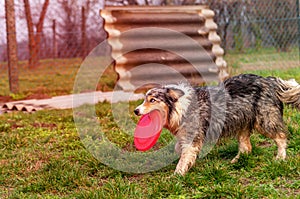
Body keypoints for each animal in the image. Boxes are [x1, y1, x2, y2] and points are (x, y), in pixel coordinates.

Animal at [134, 74, 300, 175]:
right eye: (144, 99)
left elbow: (184, 156)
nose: (136, 111)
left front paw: (177, 175)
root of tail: (270, 80)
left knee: (281, 136)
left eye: (152, 100)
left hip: (265, 120)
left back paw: (280, 157)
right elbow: (179, 149)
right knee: (246, 148)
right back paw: (236, 161)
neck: (179, 106)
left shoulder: (192, 138)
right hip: (242, 122)